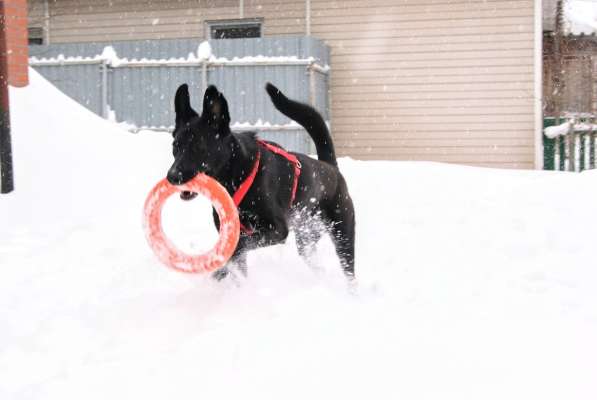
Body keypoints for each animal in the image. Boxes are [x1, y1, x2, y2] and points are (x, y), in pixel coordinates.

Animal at [168, 83, 354, 278]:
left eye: (199, 147)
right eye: (175, 147)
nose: (172, 176)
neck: (237, 176)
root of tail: (330, 167)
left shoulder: (276, 229)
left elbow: (240, 246)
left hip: (343, 235)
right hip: (307, 239)